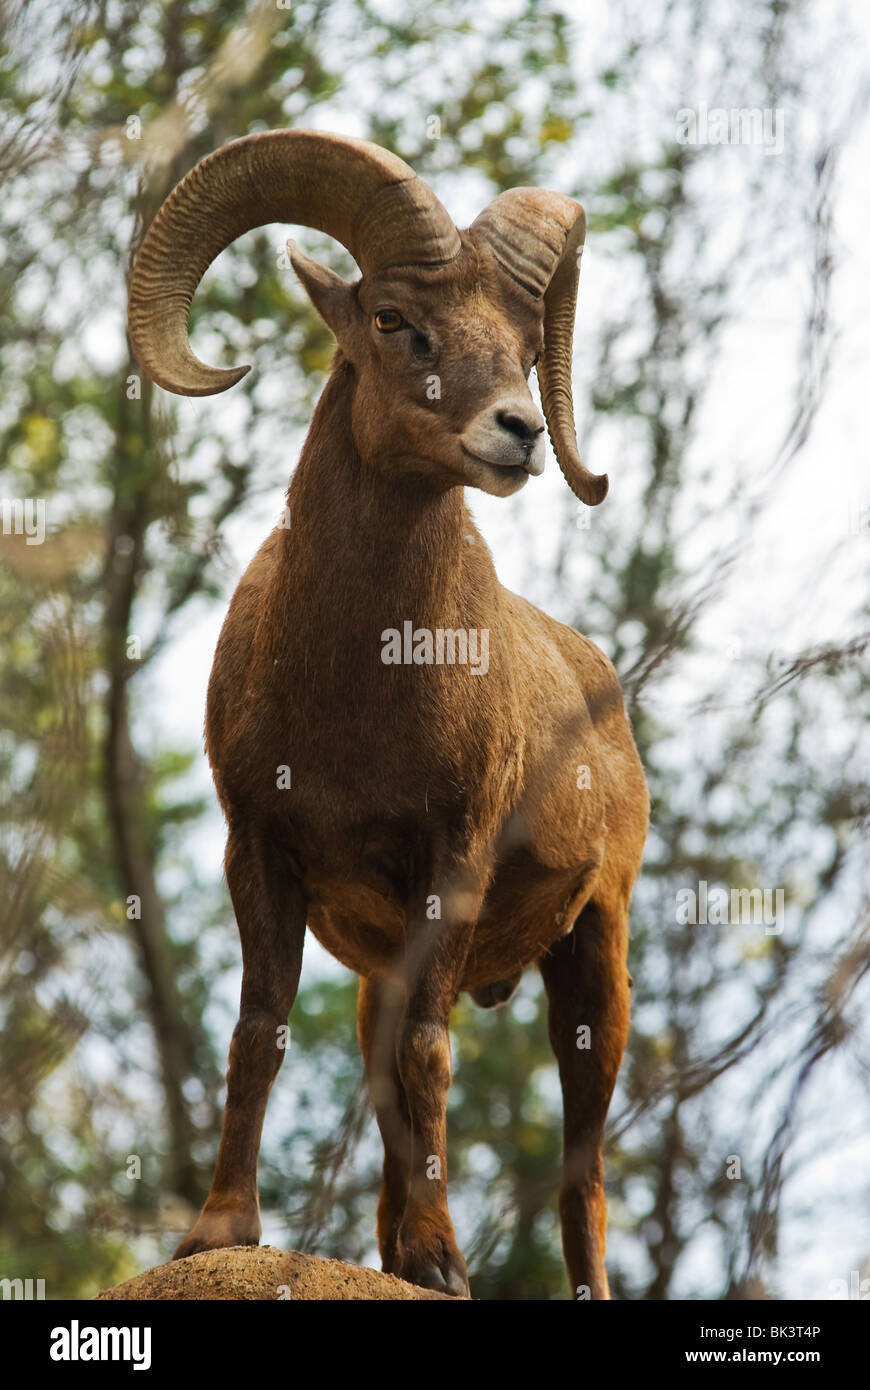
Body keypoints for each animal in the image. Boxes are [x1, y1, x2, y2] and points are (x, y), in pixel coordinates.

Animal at [128, 130, 648, 1300]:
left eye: (522, 345)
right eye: (393, 321)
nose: (517, 434)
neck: (363, 682)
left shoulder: (452, 861)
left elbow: (429, 1055)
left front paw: (440, 1260)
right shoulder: (260, 850)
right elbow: (261, 1028)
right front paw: (219, 1231)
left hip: (598, 954)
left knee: (583, 1174)